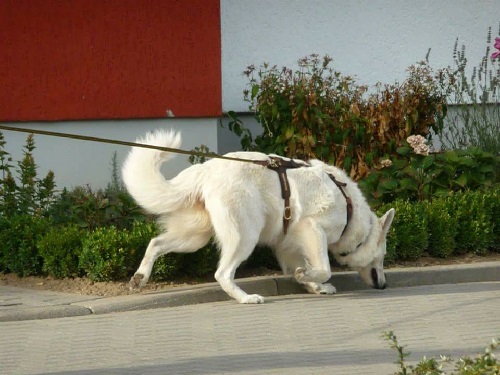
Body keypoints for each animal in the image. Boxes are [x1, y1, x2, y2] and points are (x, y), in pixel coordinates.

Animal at [122, 131, 394, 304]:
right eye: (381, 258)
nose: (384, 285)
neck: (350, 211)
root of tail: (206, 170)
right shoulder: (313, 229)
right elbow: (324, 268)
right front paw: (310, 278)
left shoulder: (290, 245)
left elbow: (305, 267)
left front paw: (313, 285)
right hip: (245, 236)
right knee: (222, 273)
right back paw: (245, 298)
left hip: (195, 238)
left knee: (156, 243)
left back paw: (140, 277)